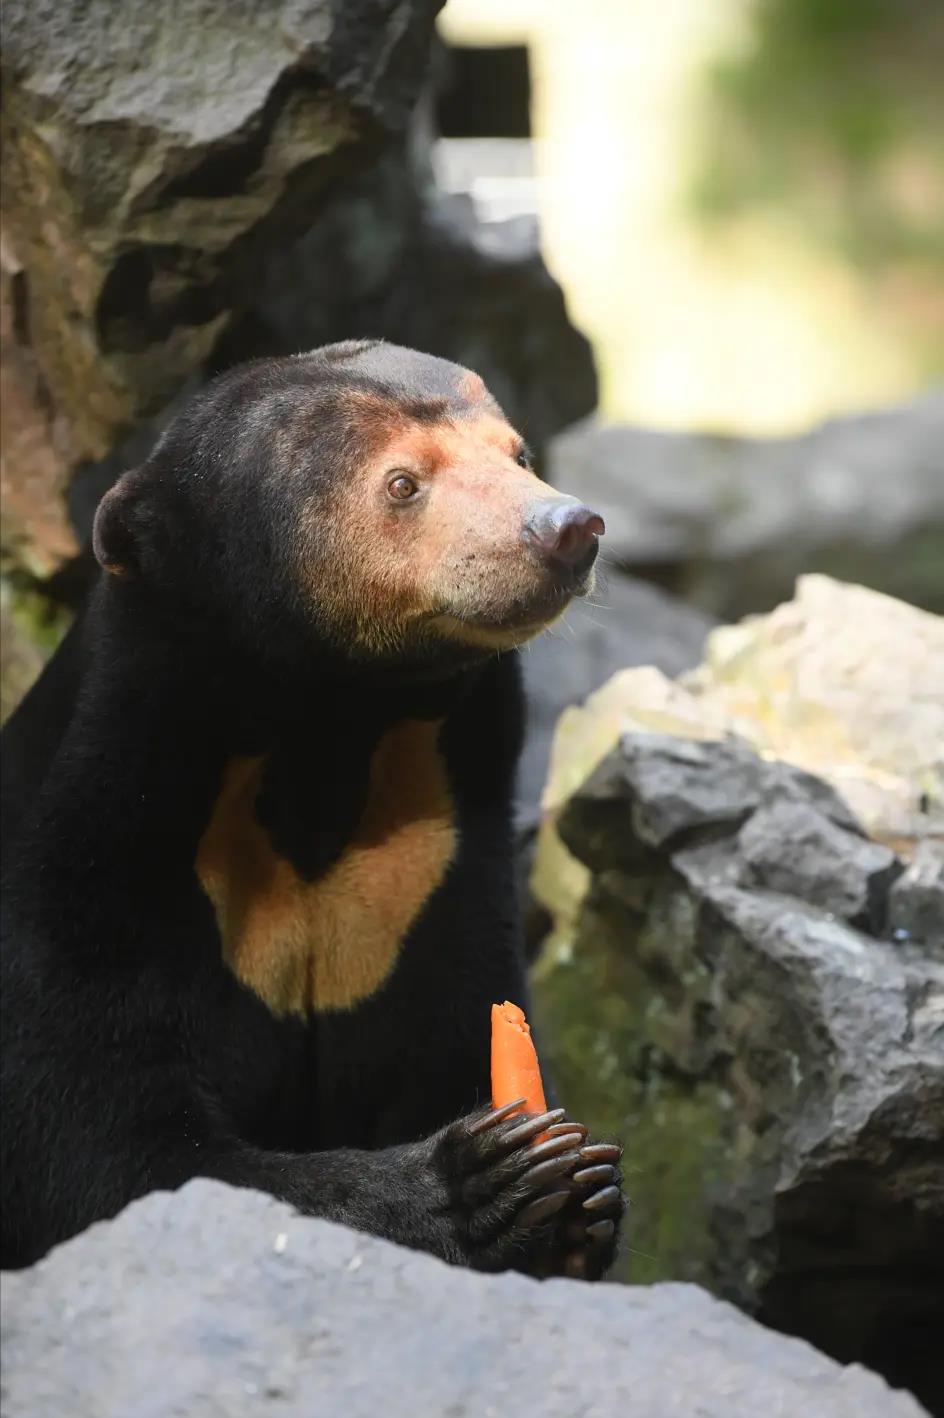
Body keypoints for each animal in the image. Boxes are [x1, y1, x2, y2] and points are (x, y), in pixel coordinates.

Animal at [0, 340, 624, 1278]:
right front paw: (479, 1181)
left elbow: (451, 1031)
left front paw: (580, 1189)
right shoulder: (89, 874)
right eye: (402, 483)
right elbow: (105, 1152)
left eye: (518, 454)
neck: (329, 736)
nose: (569, 528)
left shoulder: (429, 875)